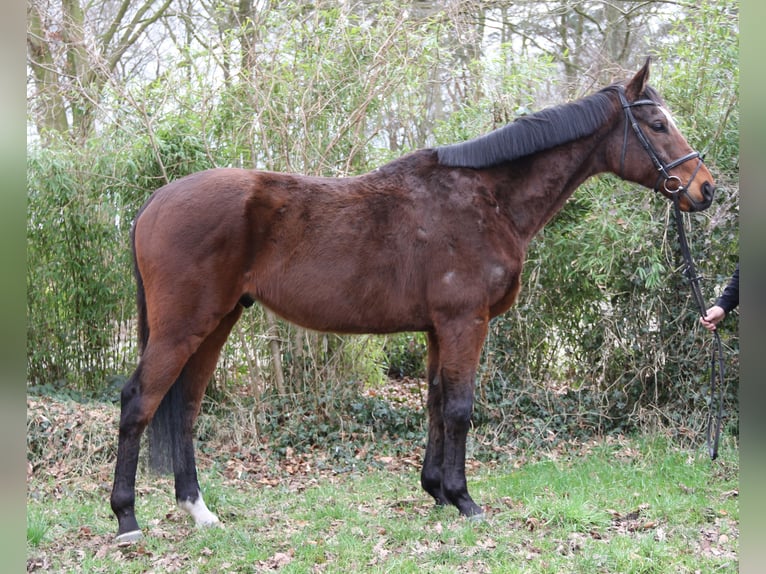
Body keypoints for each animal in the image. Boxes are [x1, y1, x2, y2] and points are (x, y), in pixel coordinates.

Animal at [111, 60, 716, 544]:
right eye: (658, 125)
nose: (706, 188)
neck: (487, 200)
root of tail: (154, 203)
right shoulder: (465, 322)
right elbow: (460, 408)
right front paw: (465, 500)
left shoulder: (437, 329)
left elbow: (434, 403)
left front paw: (436, 492)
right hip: (183, 327)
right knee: (140, 402)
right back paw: (127, 520)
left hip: (215, 325)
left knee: (185, 409)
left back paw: (199, 512)